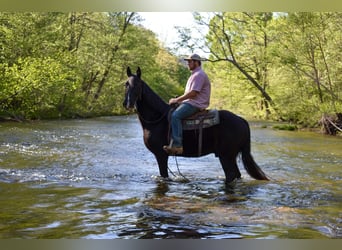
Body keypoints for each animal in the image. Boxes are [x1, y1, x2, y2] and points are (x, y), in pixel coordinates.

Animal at [123, 66, 270, 184]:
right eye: (126, 84)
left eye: (138, 85)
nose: (128, 104)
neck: (157, 119)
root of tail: (241, 120)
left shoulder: (161, 155)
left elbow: (164, 175)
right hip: (230, 156)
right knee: (237, 175)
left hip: (226, 155)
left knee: (231, 175)